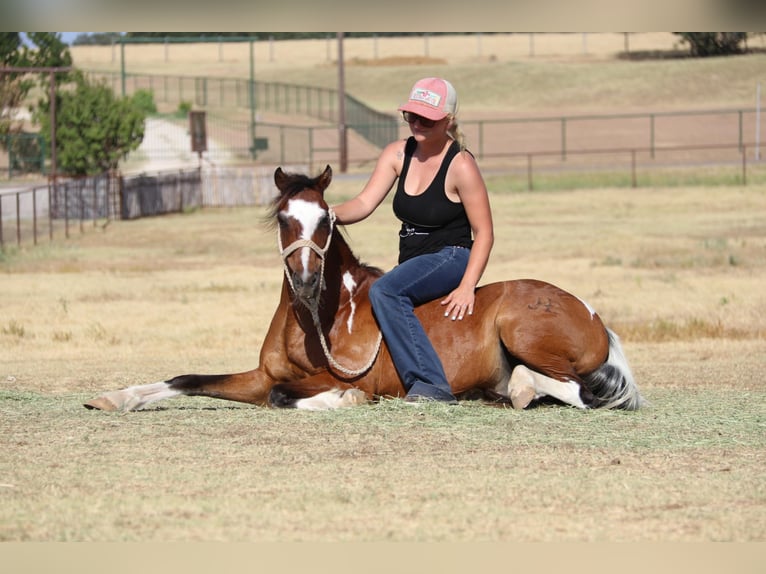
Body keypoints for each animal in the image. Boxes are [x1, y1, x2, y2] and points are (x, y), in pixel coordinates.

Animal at [85, 165, 648, 414]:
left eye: (325, 220)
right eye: (285, 219)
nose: (306, 279)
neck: (316, 323)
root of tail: (596, 317)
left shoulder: (312, 382)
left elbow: (287, 397)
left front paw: (345, 399)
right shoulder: (259, 376)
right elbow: (187, 378)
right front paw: (115, 397)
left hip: (522, 329)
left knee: (577, 391)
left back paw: (522, 389)